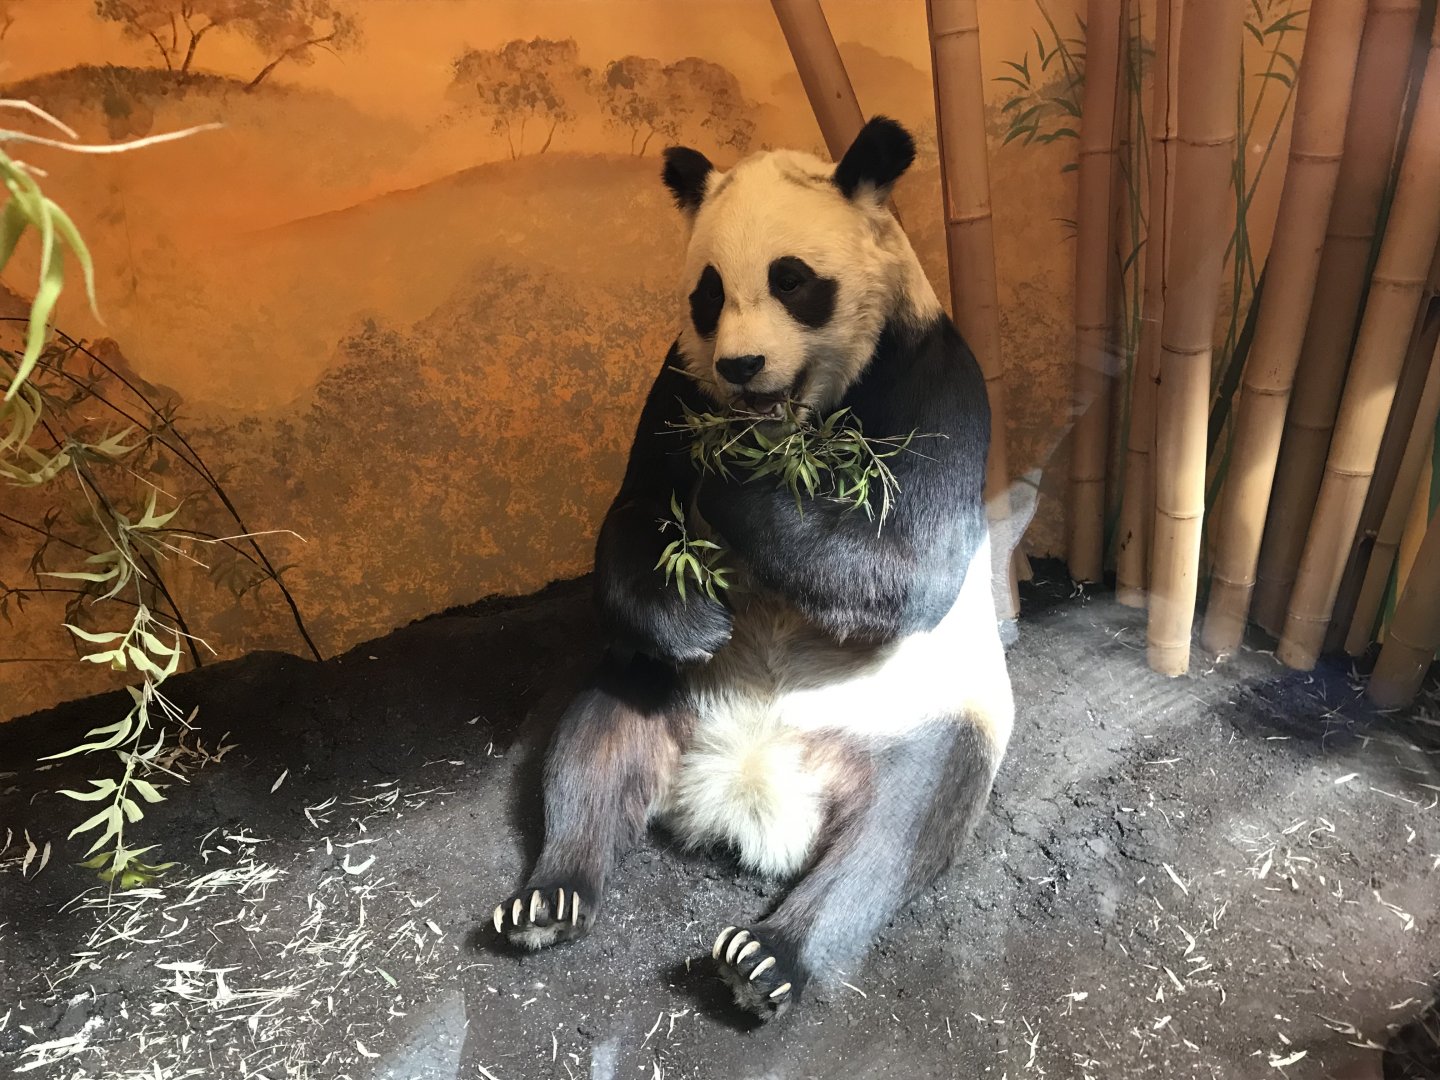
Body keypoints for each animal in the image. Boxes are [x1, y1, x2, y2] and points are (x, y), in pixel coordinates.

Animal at [492, 116, 1014, 1022]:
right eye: (707, 295)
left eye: (793, 280)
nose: (740, 367)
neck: (793, 422)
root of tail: (750, 784)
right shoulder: (675, 384)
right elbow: (634, 513)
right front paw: (698, 609)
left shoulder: (930, 382)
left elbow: (909, 562)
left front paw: (733, 478)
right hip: (657, 682)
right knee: (594, 748)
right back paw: (548, 898)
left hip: (928, 711)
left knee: (901, 830)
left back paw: (768, 957)